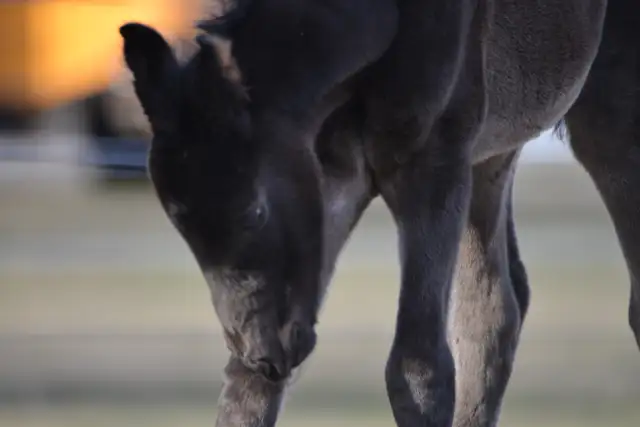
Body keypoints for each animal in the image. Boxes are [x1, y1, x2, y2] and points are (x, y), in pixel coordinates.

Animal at [118, 0, 639, 426]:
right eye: (181, 226)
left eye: (255, 212)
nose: (265, 353)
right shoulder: (330, 178)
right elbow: (246, 390)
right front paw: (255, 373)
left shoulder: (434, 161)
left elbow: (417, 366)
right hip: (492, 152)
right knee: (496, 308)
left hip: (605, 110)